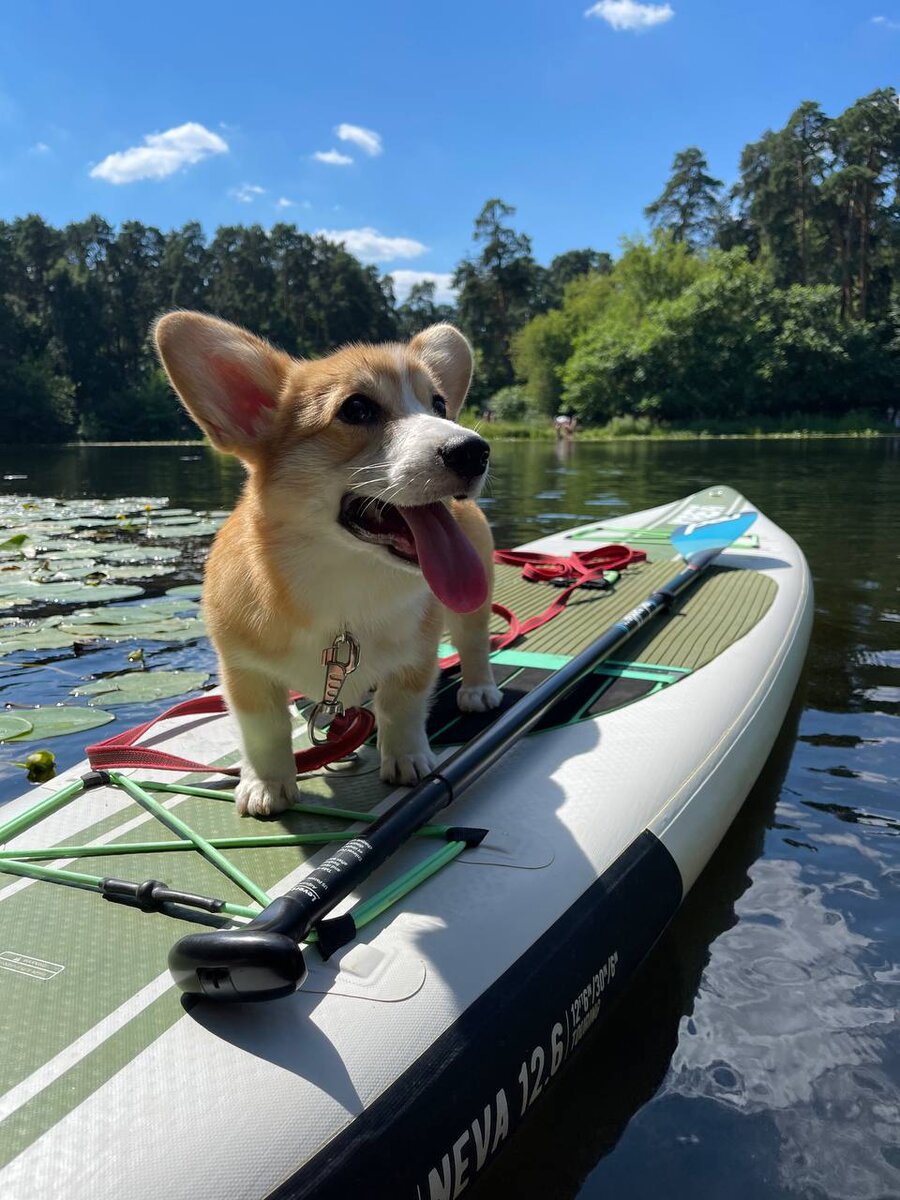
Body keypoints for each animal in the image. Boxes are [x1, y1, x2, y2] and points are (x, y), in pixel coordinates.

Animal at [153, 312, 501, 816]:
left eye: (438, 405)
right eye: (357, 409)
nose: (475, 450)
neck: (343, 579)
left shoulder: (416, 655)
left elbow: (403, 708)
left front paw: (408, 760)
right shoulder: (243, 671)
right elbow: (264, 732)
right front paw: (267, 785)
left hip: (474, 596)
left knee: (473, 641)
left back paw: (477, 689)